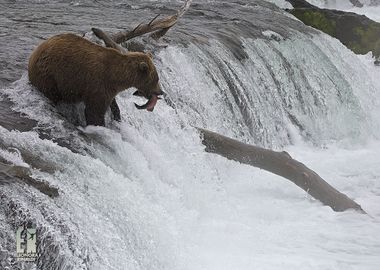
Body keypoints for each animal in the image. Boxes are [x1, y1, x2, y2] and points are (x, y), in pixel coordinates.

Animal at [27, 33, 163, 126]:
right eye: (156, 79)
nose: (160, 92)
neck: (117, 77)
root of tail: (34, 54)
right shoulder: (97, 84)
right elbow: (94, 112)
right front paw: (99, 124)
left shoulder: (108, 89)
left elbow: (112, 104)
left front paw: (117, 115)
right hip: (50, 76)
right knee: (52, 94)